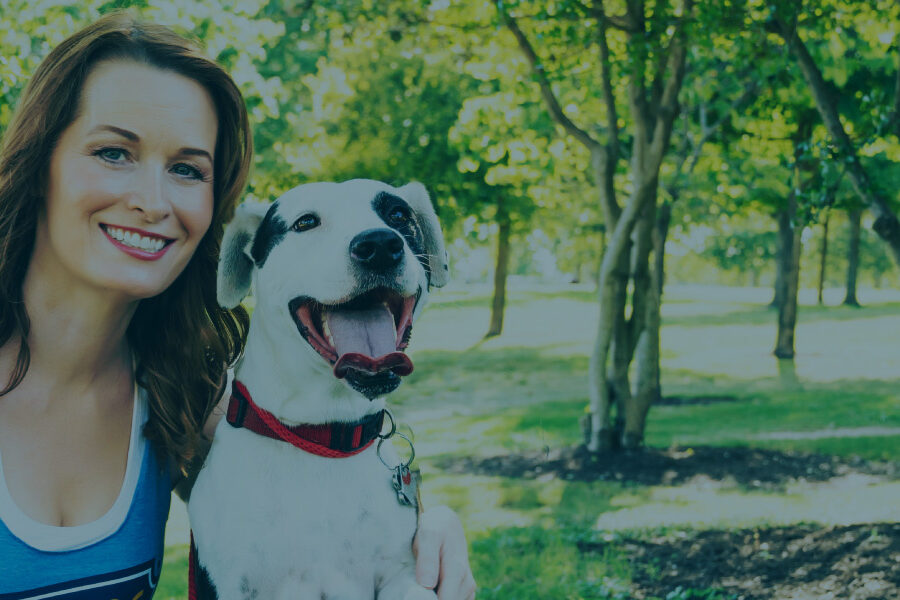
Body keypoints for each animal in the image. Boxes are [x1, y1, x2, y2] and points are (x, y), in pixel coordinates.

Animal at [191, 179, 454, 600]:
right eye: (305, 222)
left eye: (398, 215)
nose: (380, 244)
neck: (322, 436)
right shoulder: (230, 585)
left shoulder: (401, 572)